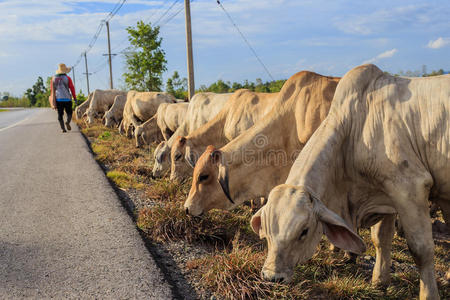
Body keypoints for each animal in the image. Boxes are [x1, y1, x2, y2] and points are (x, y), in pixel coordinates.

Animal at [251, 63, 448, 300]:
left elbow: (421, 250)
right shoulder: (385, 196)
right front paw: (379, 281)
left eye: (303, 231)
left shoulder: (410, 188)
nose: (272, 277)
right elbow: (381, 239)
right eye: (266, 230)